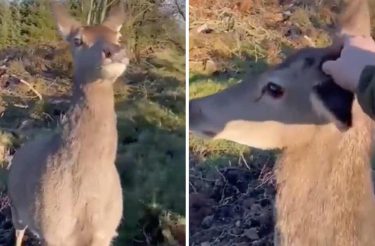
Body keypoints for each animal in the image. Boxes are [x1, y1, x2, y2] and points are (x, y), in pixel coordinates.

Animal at [6, 1, 129, 246]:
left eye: (118, 36)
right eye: (78, 40)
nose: (116, 52)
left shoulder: (105, 233)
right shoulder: (53, 232)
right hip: (16, 206)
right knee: (18, 232)